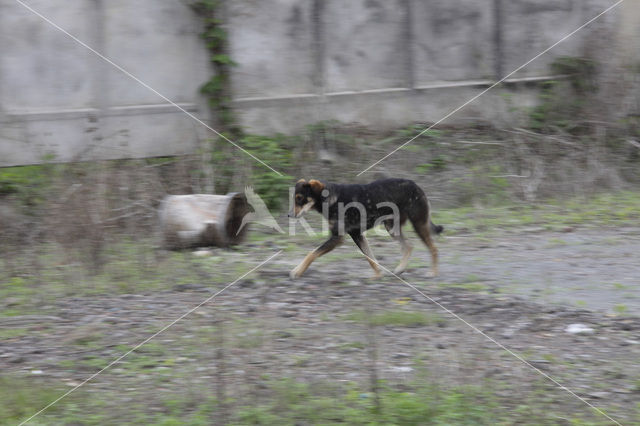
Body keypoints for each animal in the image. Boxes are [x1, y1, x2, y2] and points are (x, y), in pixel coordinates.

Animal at [288, 177, 442, 280]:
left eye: (299, 198)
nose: (289, 215)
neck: (331, 198)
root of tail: (416, 185)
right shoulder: (357, 235)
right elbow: (371, 259)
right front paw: (378, 275)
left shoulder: (337, 238)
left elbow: (311, 253)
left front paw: (297, 271)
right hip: (391, 227)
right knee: (408, 246)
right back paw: (400, 269)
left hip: (418, 224)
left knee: (433, 248)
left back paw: (433, 273)